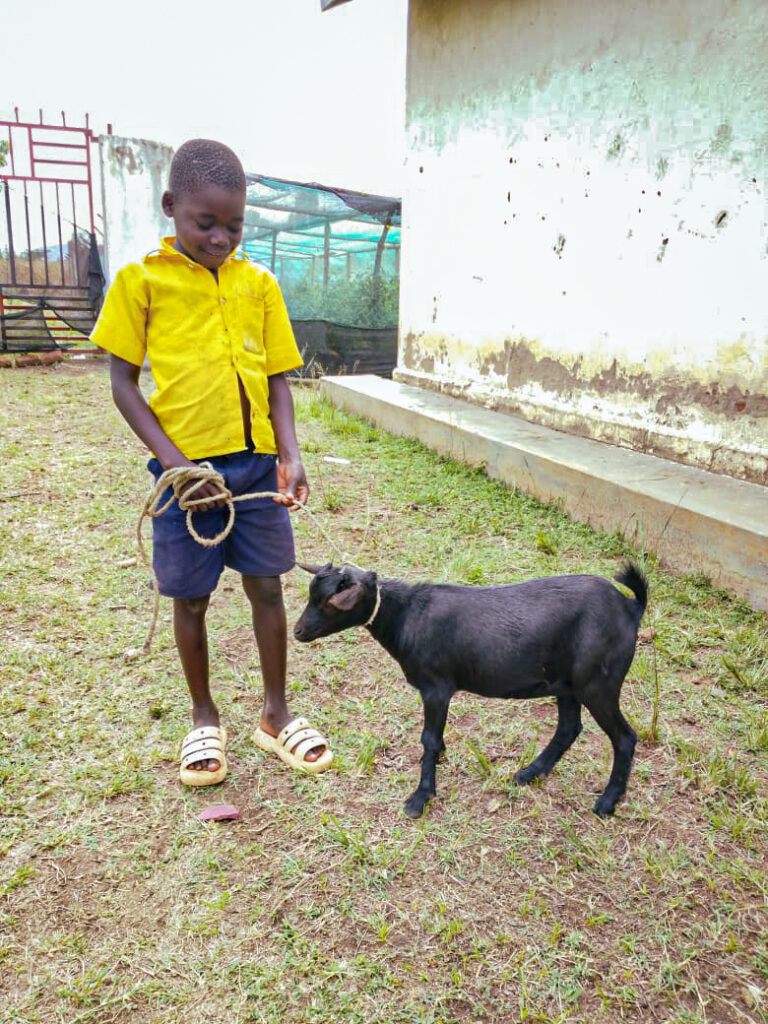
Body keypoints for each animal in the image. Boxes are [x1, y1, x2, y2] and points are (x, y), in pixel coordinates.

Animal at [293, 561, 649, 818]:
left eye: (328, 603)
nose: (298, 631)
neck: (406, 615)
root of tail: (630, 607)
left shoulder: (436, 687)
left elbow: (428, 738)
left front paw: (421, 797)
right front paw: (439, 760)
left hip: (598, 682)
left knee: (624, 737)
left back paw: (607, 802)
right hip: (568, 684)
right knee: (569, 727)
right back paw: (530, 773)